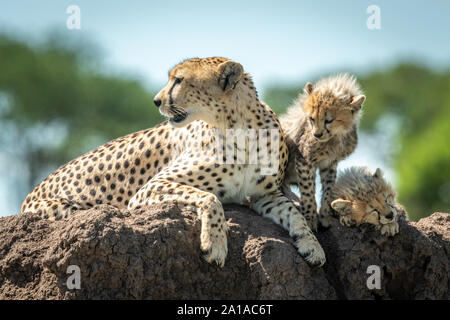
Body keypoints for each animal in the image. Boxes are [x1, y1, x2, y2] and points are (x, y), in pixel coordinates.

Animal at [21, 57, 326, 268]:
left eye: (178, 80)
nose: (156, 100)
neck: (240, 127)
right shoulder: (150, 187)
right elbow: (210, 198)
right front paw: (215, 244)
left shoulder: (264, 195)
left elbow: (295, 213)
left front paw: (312, 245)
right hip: (65, 211)